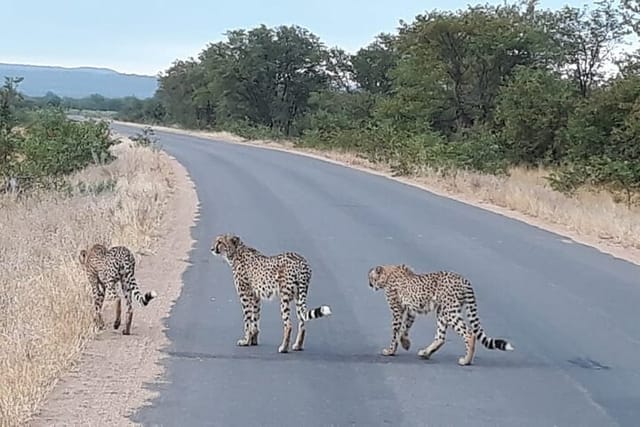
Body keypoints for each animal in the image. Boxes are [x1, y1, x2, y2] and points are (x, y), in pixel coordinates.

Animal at [368, 264, 512, 368]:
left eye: (370, 277)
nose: (369, 284)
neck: (389, 272)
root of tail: (463, 279)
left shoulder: (397, 310)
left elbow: (396, 331)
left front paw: (390, 351)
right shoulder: (411, 311)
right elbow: (404, 329)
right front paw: (406, 343)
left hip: (450, 311)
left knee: (469, 333)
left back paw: (466, 361)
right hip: (442, 311)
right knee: (441, 337)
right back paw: (426, 353)